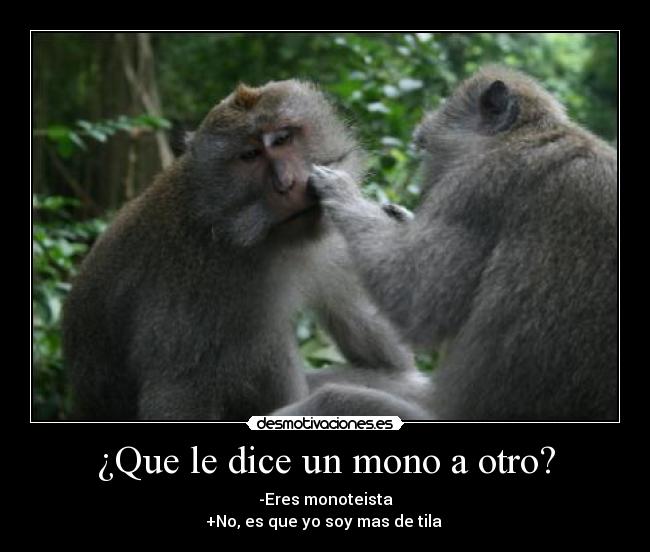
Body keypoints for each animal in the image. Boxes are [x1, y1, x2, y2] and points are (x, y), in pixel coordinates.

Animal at [62, 79, 423, 421]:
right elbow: (178, 403)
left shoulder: (332, 241)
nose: (287, 183)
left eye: (283, 139)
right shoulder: (190, 300)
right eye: (249, 156)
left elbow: (391, 361)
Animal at [308, 66, 618, 421]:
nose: (424, 184)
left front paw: (344, 193)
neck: (525, 135)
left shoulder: (476, 188)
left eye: (427, 149)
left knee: (333, 398)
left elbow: (419, 300)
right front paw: (400, 218)